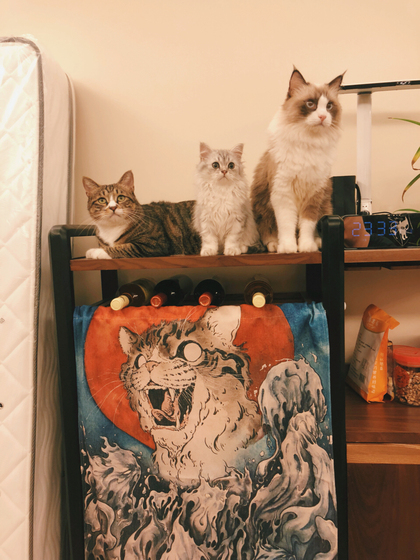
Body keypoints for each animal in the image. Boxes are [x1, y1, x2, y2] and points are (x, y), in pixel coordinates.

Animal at [251, 68, 344, 254]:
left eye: (329, 106)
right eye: (310, 104)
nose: (323, 117)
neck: (308, 142)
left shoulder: (314, 194)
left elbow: (307, 225)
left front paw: (306, 246)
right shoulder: (283, 193)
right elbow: (287, 225)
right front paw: (288, 248)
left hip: (325, 206)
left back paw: (318, 242)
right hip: (262, 210)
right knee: (268, 234)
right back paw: (275, 245)